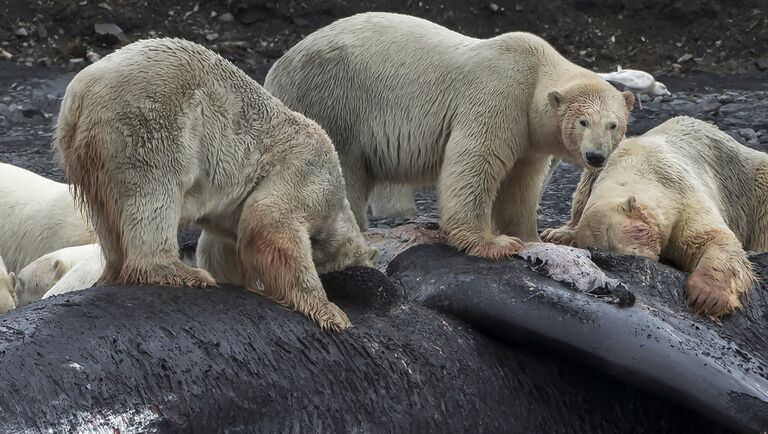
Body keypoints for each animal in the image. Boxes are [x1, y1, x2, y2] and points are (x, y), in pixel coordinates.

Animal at [268, 11, 632, 260]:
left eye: (614, 124)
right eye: (583, 122)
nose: (595, 156)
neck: (535, 71)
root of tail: (276, 68)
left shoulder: (529, 136)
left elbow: (520, 183)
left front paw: (533, 237)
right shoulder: (499, 95)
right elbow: (475, 163)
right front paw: (493, 243)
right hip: (333, 99)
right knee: (343, 165)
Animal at [544, 117, 768, 318]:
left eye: (633, 252)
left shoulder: (683, 196)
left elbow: (713, 237)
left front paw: (706, 296)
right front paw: (562, 234)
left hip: (752, 185)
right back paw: (556, 234)